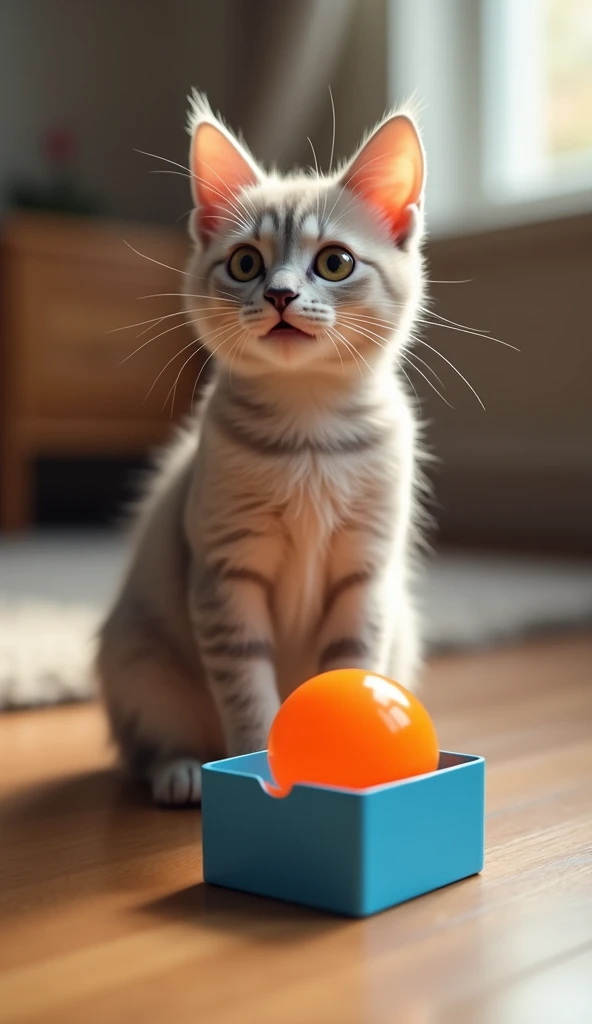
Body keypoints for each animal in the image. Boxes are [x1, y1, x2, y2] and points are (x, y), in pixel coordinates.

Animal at [99, 90, 426, 806]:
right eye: (246, 262)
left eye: (335, 262)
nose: (279, 294)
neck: (309, 433)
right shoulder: (226, 575)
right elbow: (249, 694)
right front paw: (258, 766)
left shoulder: (365, 577)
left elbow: (349, 670)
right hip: (138, 661)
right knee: (144, 749)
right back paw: (181, 772)